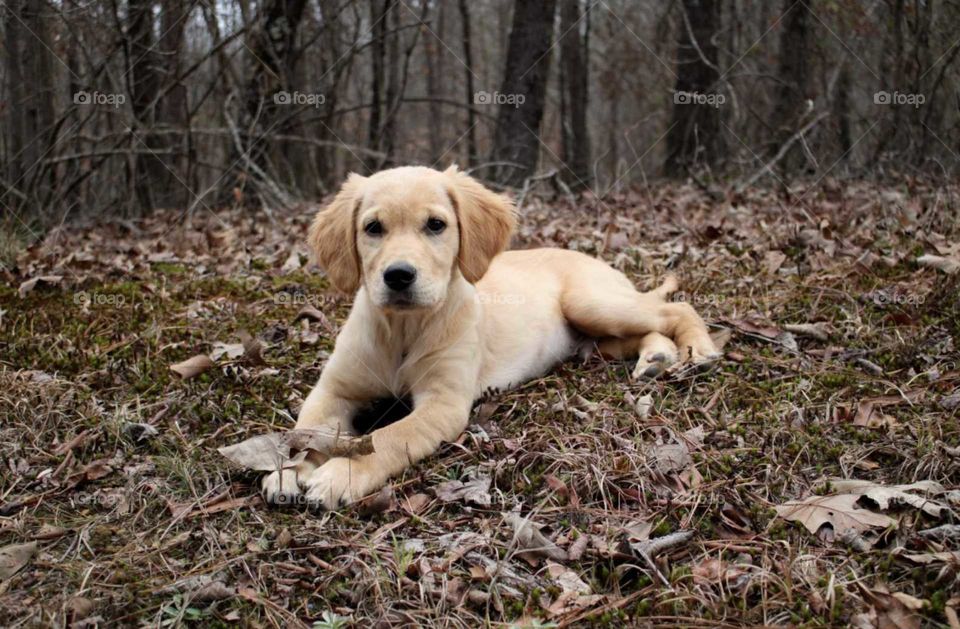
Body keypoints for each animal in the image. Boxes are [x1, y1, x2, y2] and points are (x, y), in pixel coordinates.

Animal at [262, 166, 720, 506]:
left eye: (435, 225)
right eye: (373, 227)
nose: (398, 276)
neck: (403, 329)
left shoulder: (443, 404)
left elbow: (387, 437)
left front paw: (341, 473)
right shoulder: (334, 390)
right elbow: (307, 429)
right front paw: (288, 470)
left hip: (591, 302)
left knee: (675, 309)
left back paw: (698, 349)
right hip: (594, 337)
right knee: (647, 331)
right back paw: (656, 358)